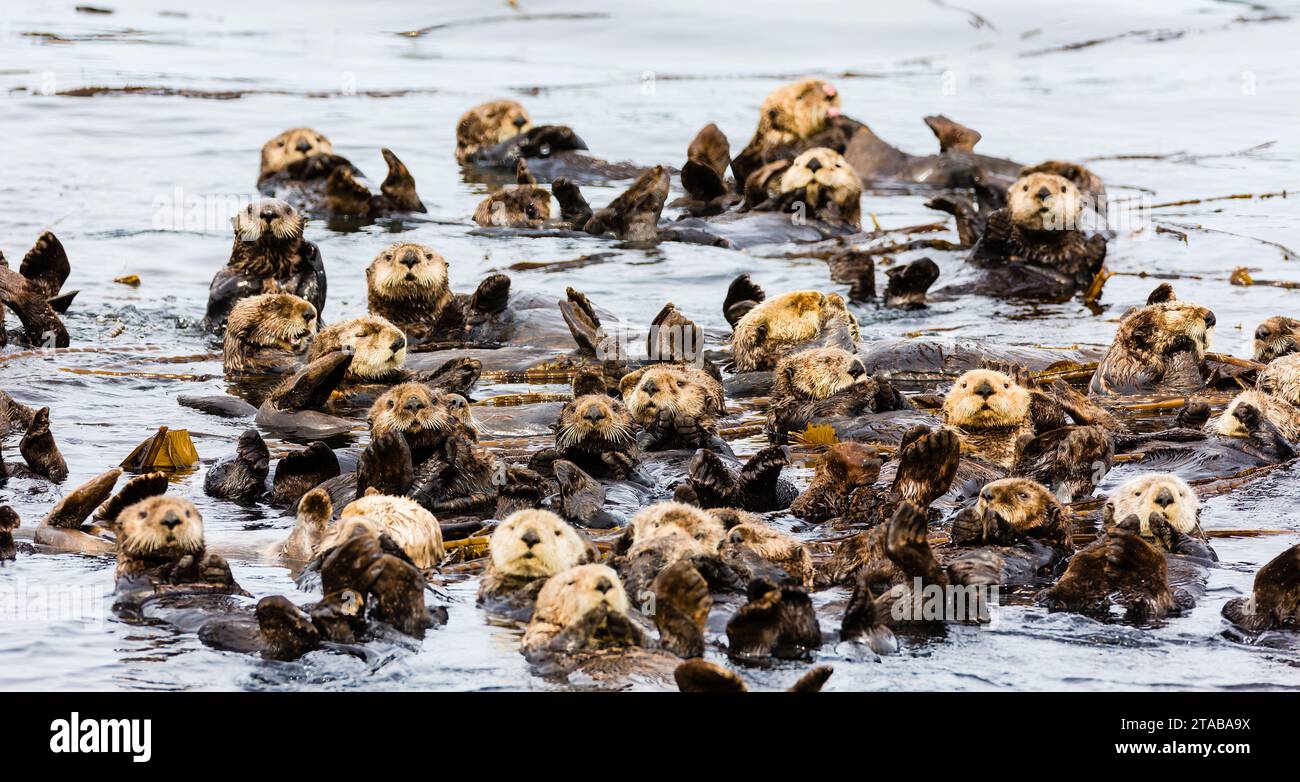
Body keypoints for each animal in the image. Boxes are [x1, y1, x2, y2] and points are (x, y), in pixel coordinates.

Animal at [202, 197, 327, 331]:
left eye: (288, 209)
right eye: (250, 209)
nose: (268, 213)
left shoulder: (306, 279)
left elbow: (313, 297)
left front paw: (310, 249)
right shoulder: (223, 278)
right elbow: (219, 300)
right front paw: (250, 281)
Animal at [257, 127, 426, 218]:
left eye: (318, 139)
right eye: (281, 144)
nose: (304, 145)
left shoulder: (355, 169)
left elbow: (351, 166)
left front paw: (330, 158)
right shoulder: (269, 179)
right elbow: (287, 171)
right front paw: (316, 160)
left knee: (415, 205)